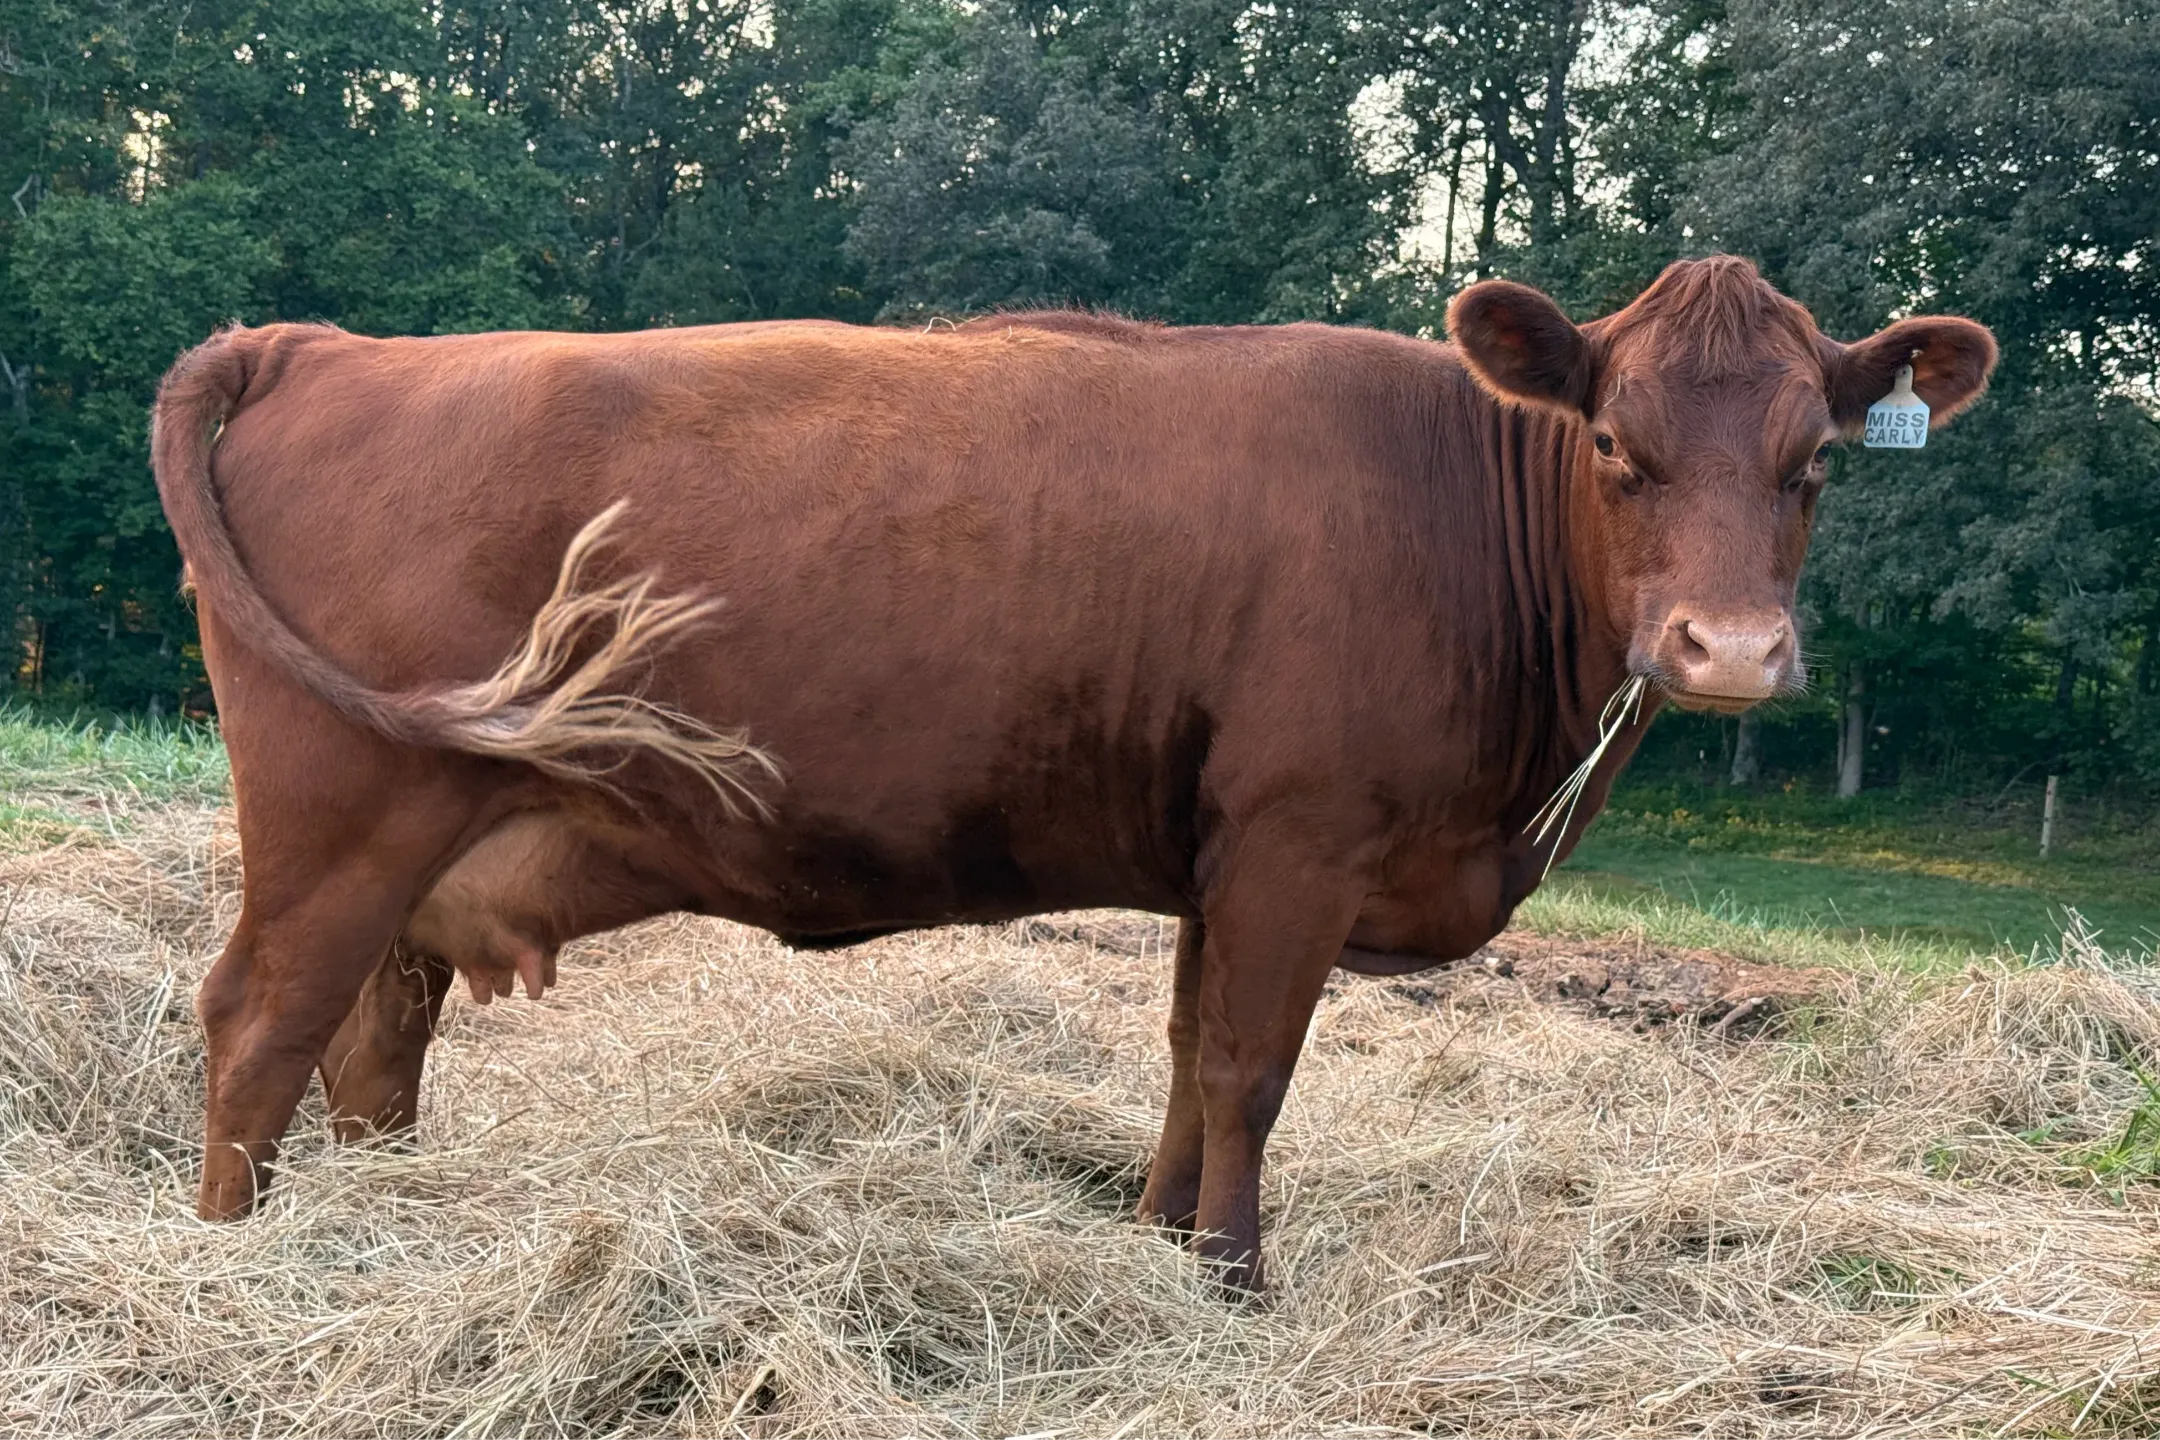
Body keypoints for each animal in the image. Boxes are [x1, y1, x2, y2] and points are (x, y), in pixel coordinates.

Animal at [151, 255, 1994, 1291]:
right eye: (1616, 447)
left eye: (1815, 462)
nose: (1729, 653)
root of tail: (323, 344)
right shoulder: (1297, 843)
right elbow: (1250, 1068)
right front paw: (1235, 1283)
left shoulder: (1220, 858)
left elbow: (1186, 1059)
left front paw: (1164, 1240)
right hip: (341, 813)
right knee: (259, 1023)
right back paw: (227, 1262)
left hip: (429, 837)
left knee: (374, 1047)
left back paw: (382, 1221)